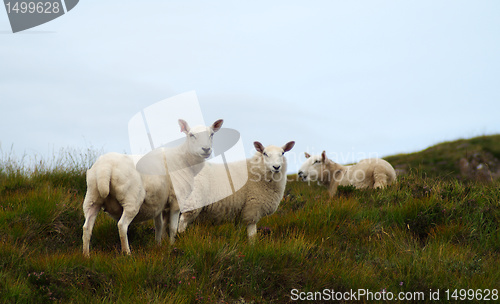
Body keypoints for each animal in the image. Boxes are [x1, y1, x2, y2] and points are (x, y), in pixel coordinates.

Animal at [82, 117, 223, 255]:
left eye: (211, 134)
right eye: (191, 135)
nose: (206, 149)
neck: (184, 161)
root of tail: (105, 168)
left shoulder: (159, 204)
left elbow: (160, 225)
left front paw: (159, 245)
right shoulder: (176, 201)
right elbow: (172, 228)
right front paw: (172, 246)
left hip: (92, 198)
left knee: (87, 227)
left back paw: (86, 255)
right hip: (131, 199)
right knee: (122, 225)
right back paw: (127, 253)